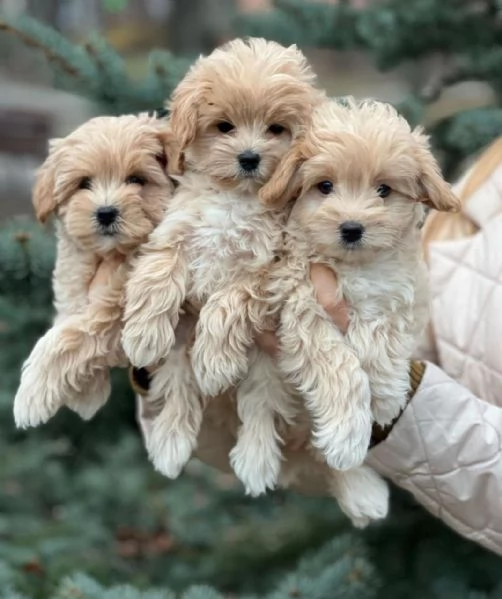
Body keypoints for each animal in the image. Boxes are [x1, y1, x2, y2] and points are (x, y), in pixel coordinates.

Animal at [13, 115, 175, 428]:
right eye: (83, 184)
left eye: (136, 180)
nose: (106, 212)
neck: (110, 253)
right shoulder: (73, 270)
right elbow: (70, 311)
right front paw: (87, 392)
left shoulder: (113, 308)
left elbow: (69, 336)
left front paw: (31, 395)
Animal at [123, 36, 324, 492]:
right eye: (224, 126)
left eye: (276, 129)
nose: (249, 157)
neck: (237, 197)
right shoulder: (176, 231)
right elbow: (158, 275)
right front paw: (142, 335)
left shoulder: (264, 266)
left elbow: (228, 302)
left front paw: (214, 362)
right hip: (181, 344)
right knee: (179, 389)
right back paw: (171, 444)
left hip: (267, 369)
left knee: (260, 408)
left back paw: (256, 460)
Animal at [260, 97, 460, 502]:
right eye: (324, 186)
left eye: (383, 190)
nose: (351, 228)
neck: (353, 266)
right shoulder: (301, 303)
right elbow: (340, 367)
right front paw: (346, 436)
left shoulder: (403, 292)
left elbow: (383, 334)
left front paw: (384, 395)